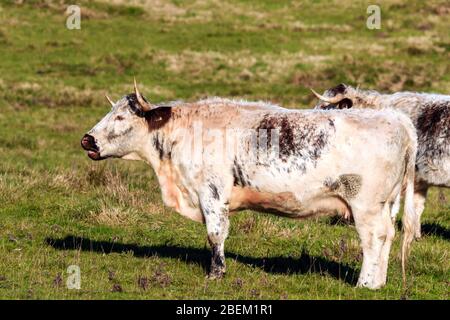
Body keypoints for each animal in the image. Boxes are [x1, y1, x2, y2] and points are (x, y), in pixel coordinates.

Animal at [81, 81, 418, 288]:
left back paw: (365, 283)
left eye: (121, 117)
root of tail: (395, 119)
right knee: (388, 236)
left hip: (366, 206)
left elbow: (216, 234)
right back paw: (378, 282)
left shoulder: (212, 193)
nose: (88, 139)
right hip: (385, 204)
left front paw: (216, 274)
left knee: (374, 238)